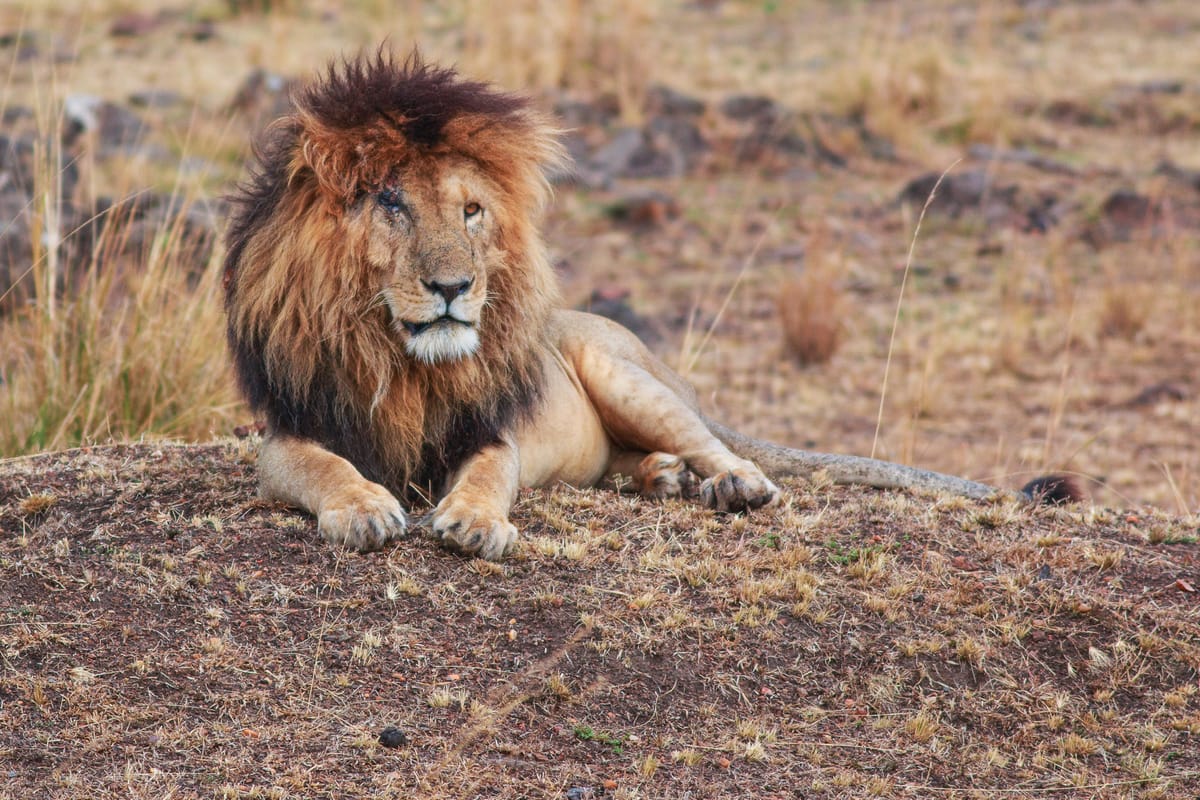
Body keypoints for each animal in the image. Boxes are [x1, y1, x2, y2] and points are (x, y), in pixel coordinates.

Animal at [224, 52, 1079, 561]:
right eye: (393, 203)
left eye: (471, 211)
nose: (453, 288)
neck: (402, 363)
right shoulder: (291, 431)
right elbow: (322, 467)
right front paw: (363, 507)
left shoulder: (490, 430)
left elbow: (488, 474)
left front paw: (475, 521)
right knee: (639, 461)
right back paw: (661, 479)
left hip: (621, 372)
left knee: (722, 447)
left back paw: (728, 484)